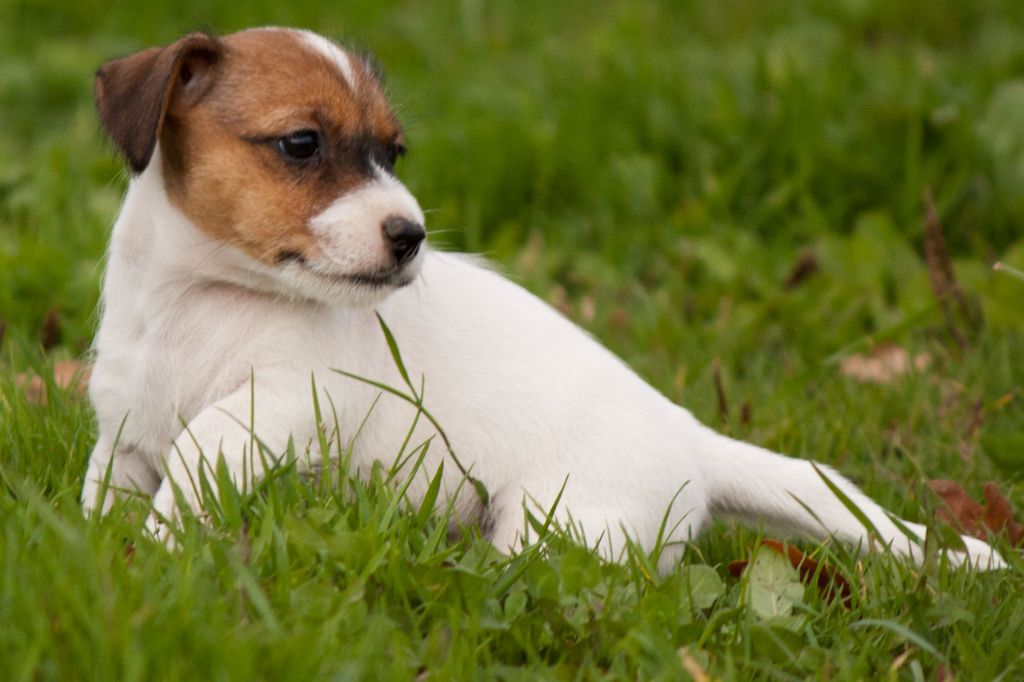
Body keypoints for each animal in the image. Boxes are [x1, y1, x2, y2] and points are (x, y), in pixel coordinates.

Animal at [81, 27, 1004, 571]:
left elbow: (199, 451)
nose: (410, 235)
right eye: (302, 144)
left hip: (560, 523)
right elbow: (110, 490)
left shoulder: (279, 403)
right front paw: (107, 551)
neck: (206, 298)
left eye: (393, 152)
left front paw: (158, 552)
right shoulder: (123, 434)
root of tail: (693, 441)